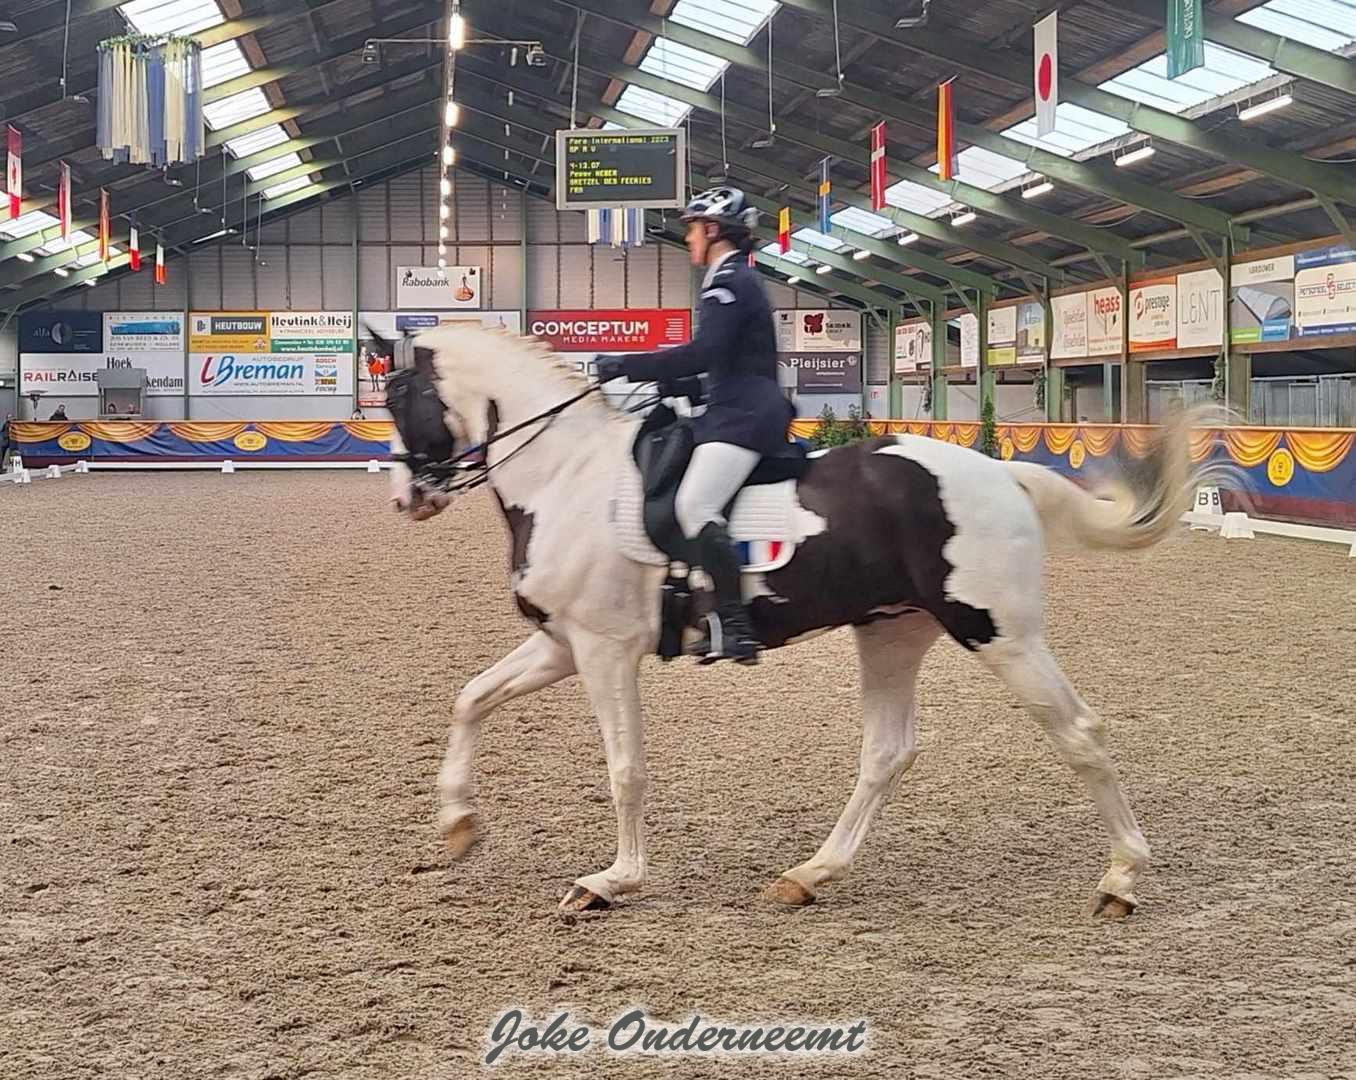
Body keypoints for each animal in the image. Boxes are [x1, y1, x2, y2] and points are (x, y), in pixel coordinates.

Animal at [387, 324, 1204, 917]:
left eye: (397, 396)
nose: (407, 499)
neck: (567, 475)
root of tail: (1000, 472)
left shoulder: (603, 650)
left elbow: (625, 768)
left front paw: (612, 881)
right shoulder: (561, 644)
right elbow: (470, 699)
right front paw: (458, 826)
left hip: (998, 631)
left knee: (1079, 733)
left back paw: (1121, 880)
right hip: (892, 631)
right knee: (887, 752)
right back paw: (810, 873)